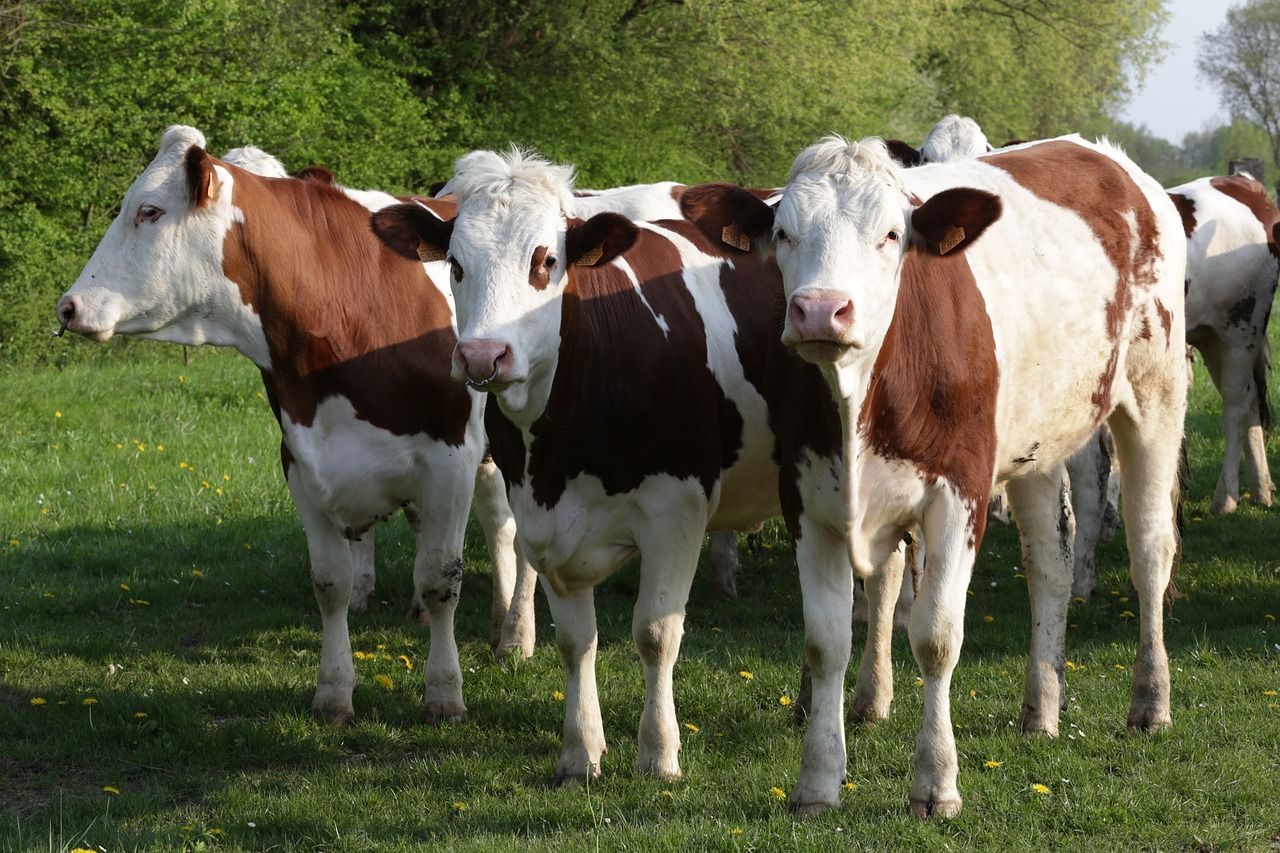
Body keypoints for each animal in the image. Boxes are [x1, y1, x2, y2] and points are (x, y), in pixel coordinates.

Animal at [56, 124, 535, 722]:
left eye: (149, 210)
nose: (68, 307)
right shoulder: (302, 461)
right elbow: (330, 582)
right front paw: (333, 694)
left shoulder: (449, 458)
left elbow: (439, 580)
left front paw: (444, 694)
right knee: (497, 525)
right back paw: (498, 623)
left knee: (516, 540)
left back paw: (516, 636)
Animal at [371, 146, 921, 788]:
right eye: (456, 265)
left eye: (546, 260)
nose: (483, 355)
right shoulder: (539, 514)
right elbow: (576, 642)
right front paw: (580, 752)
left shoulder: (675, 511)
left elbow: (655, 633)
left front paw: (658, 753)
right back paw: (811, 702)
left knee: (885, 575)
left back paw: (871, 699)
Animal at [680, 134, 1187, 819]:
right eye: (783, 232)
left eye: (892, 234)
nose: (820, 311)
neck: (860, 395)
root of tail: (1105, 155)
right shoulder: (807, 500)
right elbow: (826, 640)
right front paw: (817, 783)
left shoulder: (959, 493)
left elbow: (938, 637)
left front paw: (936, 783)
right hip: (1035, 439)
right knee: (1048, 562)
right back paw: (1041, 709)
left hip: (1156, 392)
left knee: (1150, 550)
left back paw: (1149, 703)